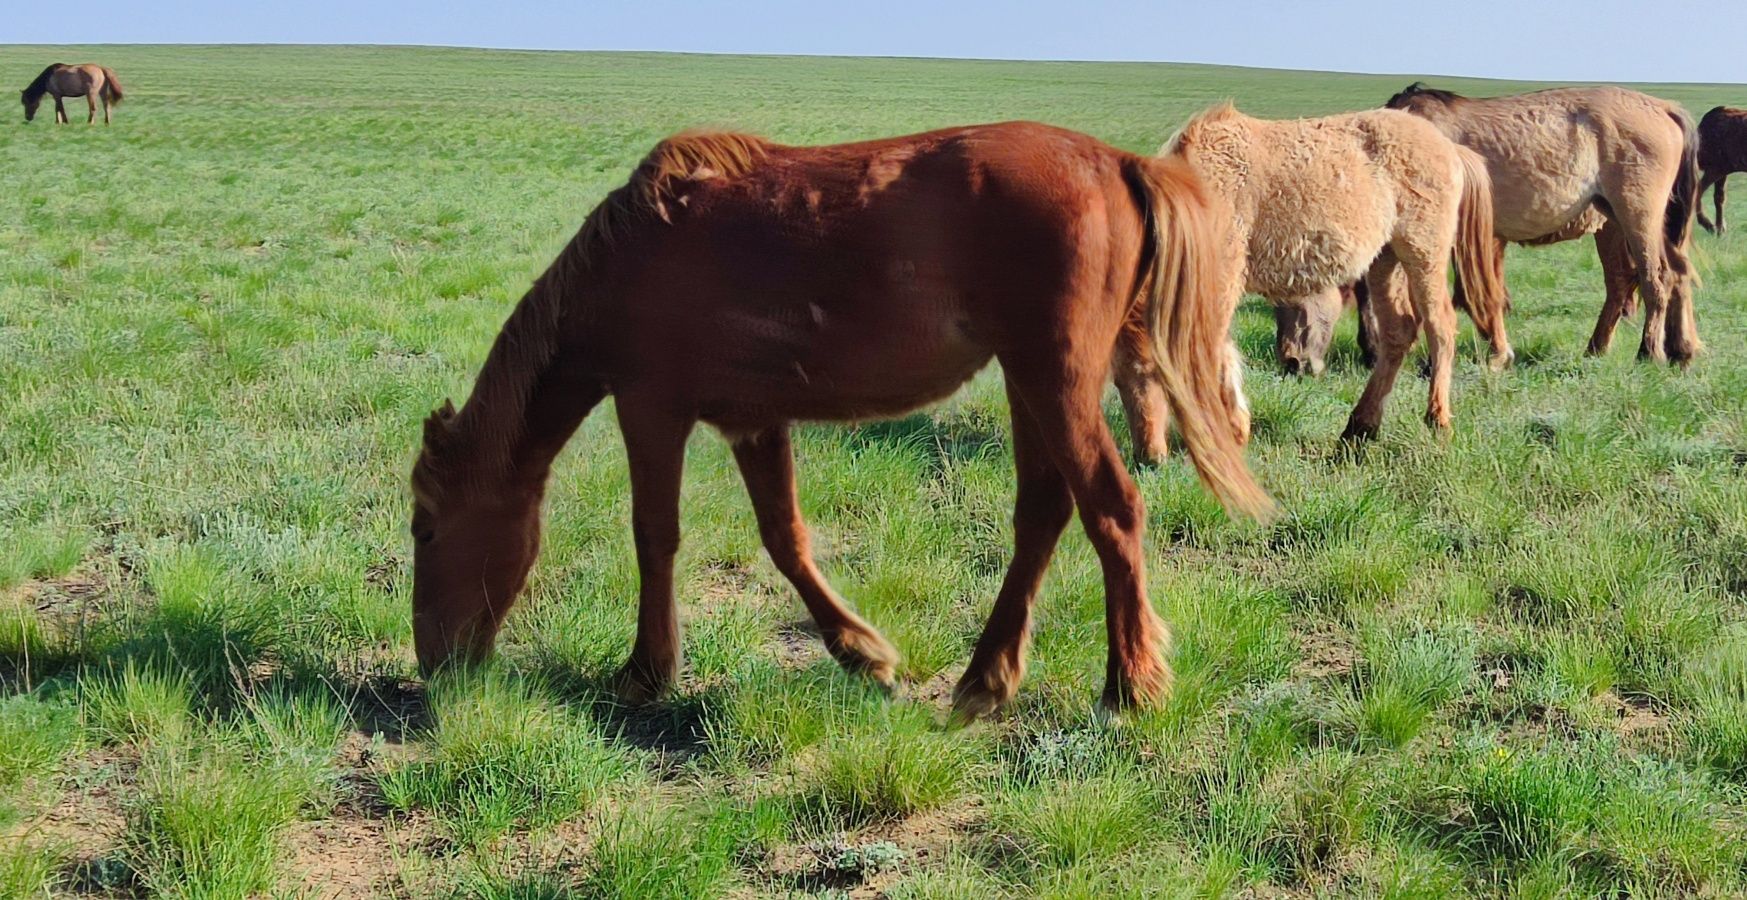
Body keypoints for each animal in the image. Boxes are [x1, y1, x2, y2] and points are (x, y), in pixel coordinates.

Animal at [405, 121, 1271, 726]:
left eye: (425, 527)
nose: (433, 660)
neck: (626, 259)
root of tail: (1115, 162)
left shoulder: (648, 407)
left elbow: (655, 536)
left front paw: (645, 671)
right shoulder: (753, 423)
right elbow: (784, 537)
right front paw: (861, 654)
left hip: (1052, 381)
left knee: (1111, 510)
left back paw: (1127, 684)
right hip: (1029, 384)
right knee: (1042, 514)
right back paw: (984, 678)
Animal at [1111, 104, 1509, 457]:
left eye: (1156, 373)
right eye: (1116, 380)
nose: (1150, 456)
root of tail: (1450, 148)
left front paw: (1227, 435)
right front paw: (1237, 427)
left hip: (1422, 254)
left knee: (1440, 326)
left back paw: (1437, 420)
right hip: (1384, 261)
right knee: (1398, 333)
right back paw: (1358, 429)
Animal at [1383, 82, 1698, 365]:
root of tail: (1662, 107)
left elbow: (1477, 296)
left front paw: (1496, 354)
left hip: (1637, 217)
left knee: (1656, 278)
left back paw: (1649, 352)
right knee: (1671, 274)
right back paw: (1674, 349)